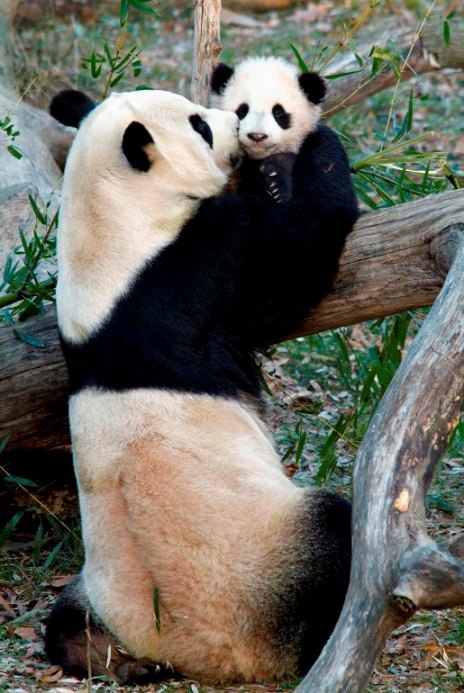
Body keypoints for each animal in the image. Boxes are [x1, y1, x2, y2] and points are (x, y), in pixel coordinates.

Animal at [45, 89, 358, 684]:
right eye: (199, 124)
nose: (238, 124)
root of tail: (193, 654)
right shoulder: (189, 273)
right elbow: (290, 264)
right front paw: (313, 150)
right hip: (261, 561)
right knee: (330, 534)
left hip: (101, 595)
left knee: (64, 626)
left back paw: (101, 657)